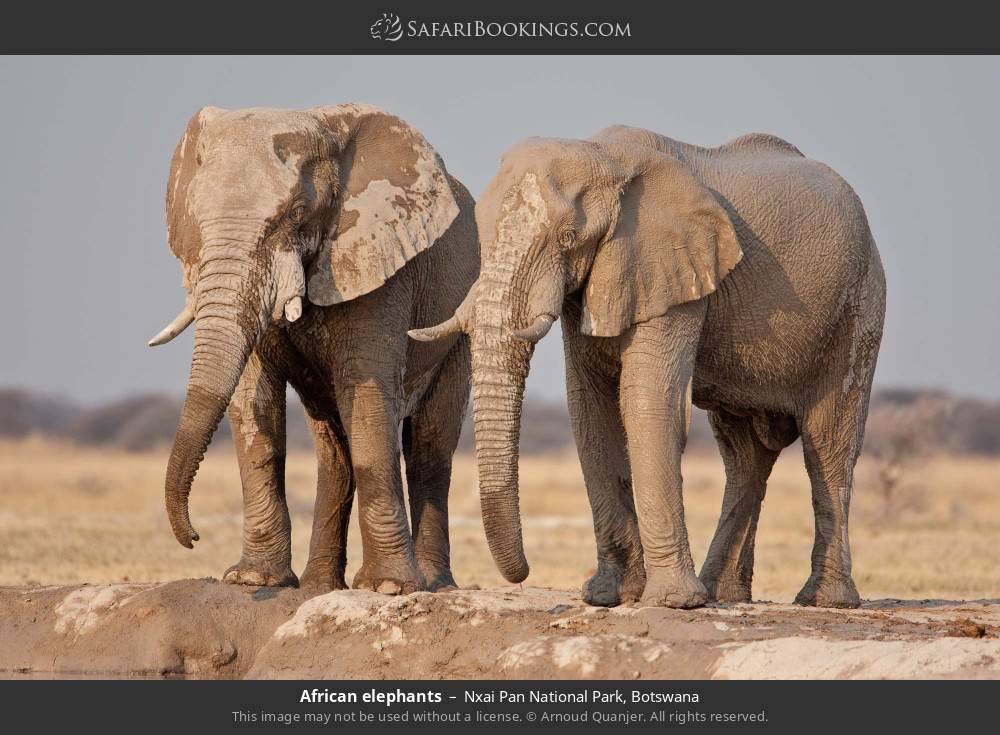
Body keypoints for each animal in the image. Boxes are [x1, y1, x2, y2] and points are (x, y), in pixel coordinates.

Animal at [150, 104, 478, 593]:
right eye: (196, 217)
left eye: (297, 212)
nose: (193, 537)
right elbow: (254, 405)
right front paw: (252, 580)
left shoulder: (377, 264)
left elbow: (367, 399)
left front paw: (389, 588)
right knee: (333, 451)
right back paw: (320, 585)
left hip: (458, 329)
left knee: (429, 448)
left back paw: (435, 583)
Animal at [412, 126, 885, 609]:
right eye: (481, 236)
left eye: (568, 238)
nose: (522, 575)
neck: (604, 156)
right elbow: (590, 409)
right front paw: (609, 596)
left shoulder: (671, 270)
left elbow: (647, 402)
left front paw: (673, 601)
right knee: (744, 455)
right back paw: (724, 593)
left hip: (859, 307)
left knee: (828, 443)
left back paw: (824, 600)